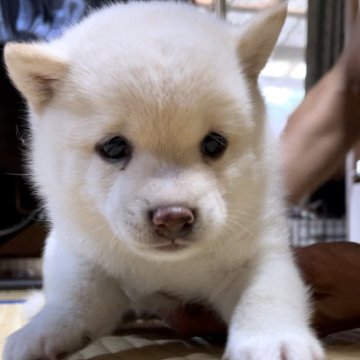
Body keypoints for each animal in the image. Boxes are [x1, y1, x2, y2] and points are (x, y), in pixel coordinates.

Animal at [2, 2, 324, 360]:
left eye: (214, 144)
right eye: (113, 147)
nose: (173, 218)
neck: (167, 267)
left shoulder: (259, 251)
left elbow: (266, 291)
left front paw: (270, 341)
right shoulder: (79, 252)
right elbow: (75, 298)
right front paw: (41, 330)